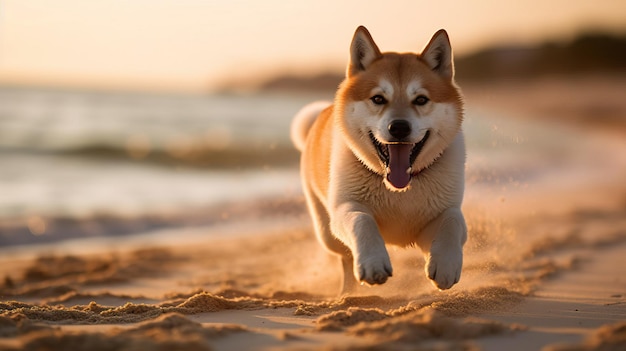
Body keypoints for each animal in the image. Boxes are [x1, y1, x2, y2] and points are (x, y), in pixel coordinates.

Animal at [290, 25, 466, 294]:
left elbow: (453, 222)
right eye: (378, 99)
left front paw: (446, 265)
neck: (399, 190)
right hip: (327, 232)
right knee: (345, 258)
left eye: (421, 99)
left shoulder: (440, 215)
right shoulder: (346, 208)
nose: (399, 128)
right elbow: (362, 221)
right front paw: (373, 263)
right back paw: (349, 293)